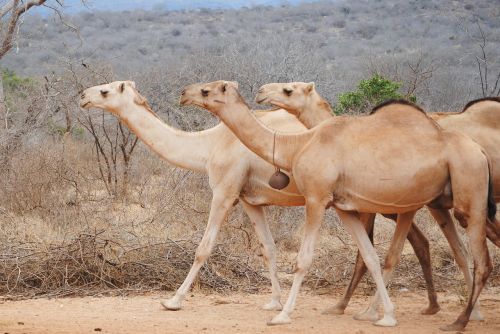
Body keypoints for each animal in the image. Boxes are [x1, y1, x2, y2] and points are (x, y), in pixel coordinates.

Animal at [182, 80, 494, 332]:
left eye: (206, 90)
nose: (184, 93)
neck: (298, 145)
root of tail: (480, 151)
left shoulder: (316, 198)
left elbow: (304, 260)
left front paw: (282, 315)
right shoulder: (343, 207)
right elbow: (369, 256)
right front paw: (386, 316)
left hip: (470, 193)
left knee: (481, 259)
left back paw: (460, 321)